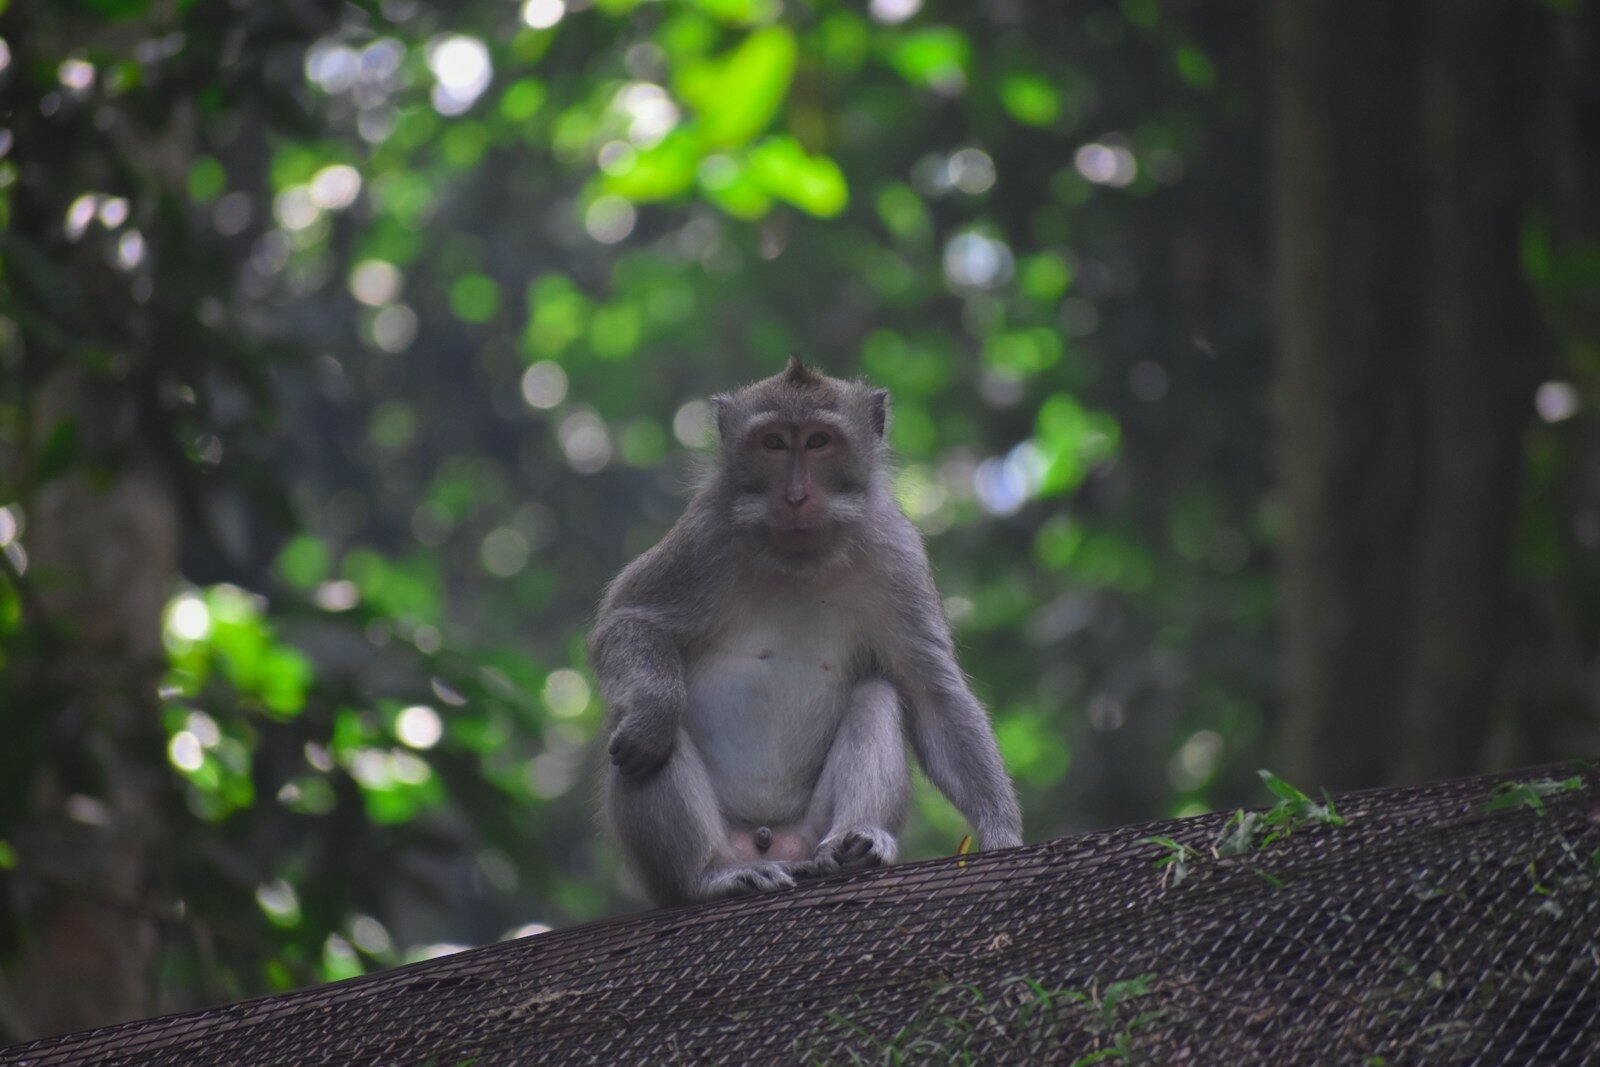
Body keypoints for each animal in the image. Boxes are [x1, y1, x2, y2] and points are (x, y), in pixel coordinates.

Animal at [590, 357, 1022, 906]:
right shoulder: (704, 534)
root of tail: (770, 843)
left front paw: (1001, 833)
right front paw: (652, 712)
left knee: (878, 696)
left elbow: (933, 696)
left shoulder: (896, 552)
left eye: (818, 441)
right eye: (773, 443)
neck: (801, 556)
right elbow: (629, 621)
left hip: (808, 830)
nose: (796, 496)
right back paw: (710, 875)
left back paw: (855, 844)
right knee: (649, 734)